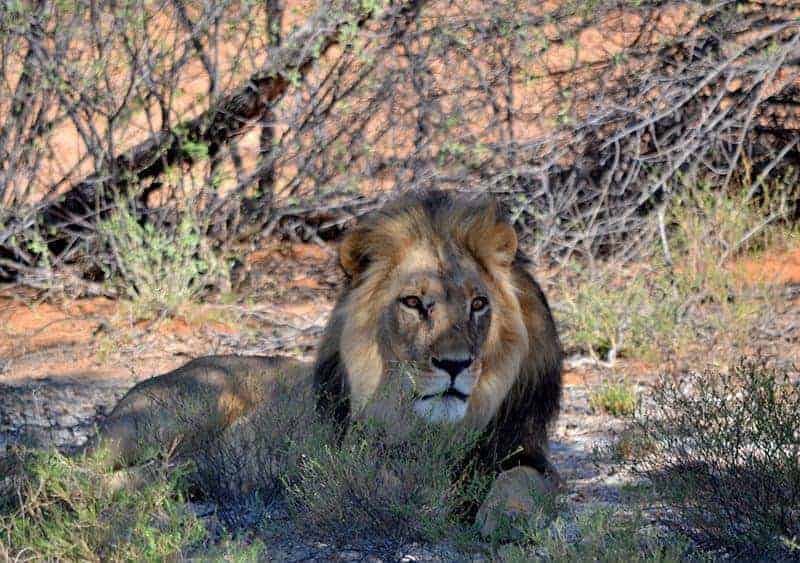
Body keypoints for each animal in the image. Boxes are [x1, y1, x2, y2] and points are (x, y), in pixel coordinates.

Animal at [84, 190, 563, 530]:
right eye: (413, 303)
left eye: (478, 304)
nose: (455, 365)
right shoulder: (359, 459)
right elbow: (403, 484)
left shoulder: (525, 452)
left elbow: (525, 485)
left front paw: (502, 516)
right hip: (159, 422)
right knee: (82, 468)